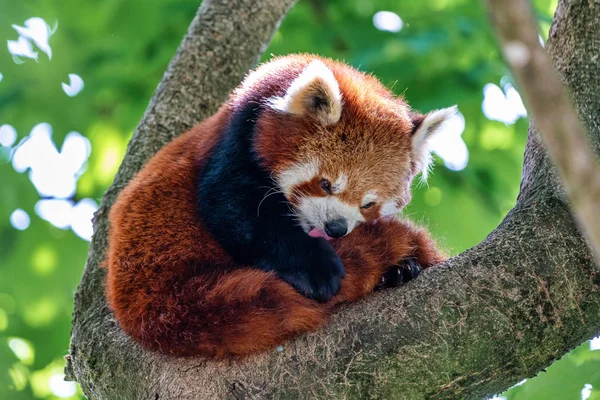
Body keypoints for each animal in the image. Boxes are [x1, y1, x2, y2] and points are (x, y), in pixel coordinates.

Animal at [106, 54, 454, 358]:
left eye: (369, 203)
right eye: (325, 184)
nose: (336, 228)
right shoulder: (235, 136)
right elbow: (235, 208)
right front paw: (317, 269)